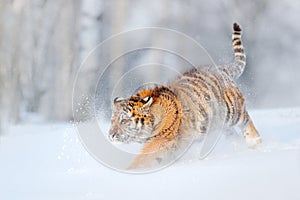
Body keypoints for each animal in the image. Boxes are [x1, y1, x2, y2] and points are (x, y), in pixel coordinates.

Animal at [109, 23, 262, 169]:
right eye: (112, 121)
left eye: (124, 121)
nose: (111, 135)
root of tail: (219, 68)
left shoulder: (162, 140)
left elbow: (143, 159)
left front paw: (130, 171)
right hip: (219, 122)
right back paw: (239, 146)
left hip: (233, 110)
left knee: (246, 120)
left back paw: (256, 143)